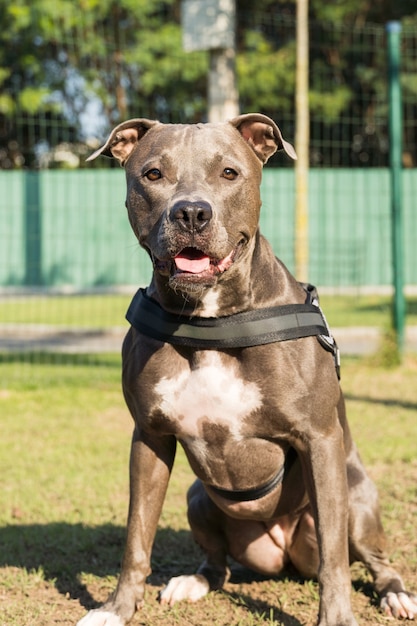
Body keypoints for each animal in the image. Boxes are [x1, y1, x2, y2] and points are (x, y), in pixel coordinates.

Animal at [78, 113, 416, 624]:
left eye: (229, 173)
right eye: (153, 174)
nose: (191, 213)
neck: (209, 319)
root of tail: (283, 555)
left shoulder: (319, 439)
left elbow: (335, 556)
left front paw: (337, 617)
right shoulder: (150, 436)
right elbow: (137, 534)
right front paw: (116, 609)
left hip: (358, 498)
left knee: (368, 556)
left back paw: (395, 592)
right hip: (198, 499)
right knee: (218, 564)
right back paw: (193, 582)